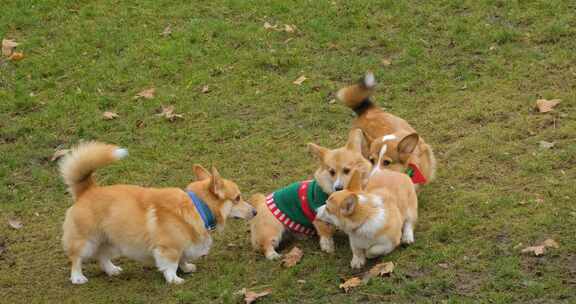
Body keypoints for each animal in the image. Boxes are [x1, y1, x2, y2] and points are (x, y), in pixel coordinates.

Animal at [59, 141, 255, 284]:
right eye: (237, 198)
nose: (254, 212)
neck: (199, 207)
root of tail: (87, 190)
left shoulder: (181, 245)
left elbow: (182, 259)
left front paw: (186, 268)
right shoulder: (168, 248)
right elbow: (171, 264)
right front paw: (175, 279)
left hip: (110, 240)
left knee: (102, 256)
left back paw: (112, 270)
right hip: (86, 240)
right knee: (76, 258)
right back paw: (77, 277)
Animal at [250, 129, 372, 260]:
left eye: (347, 170)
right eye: (332, 172)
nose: (338, 187)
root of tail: (260, 203)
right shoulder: (318, 216)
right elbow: (325, 233)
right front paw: (328, 247)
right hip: (273, 230)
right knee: (265, 245)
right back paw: (272, 255)